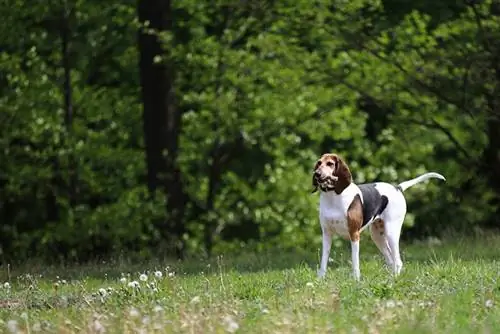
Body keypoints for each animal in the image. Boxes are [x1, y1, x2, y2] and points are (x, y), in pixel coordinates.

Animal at [312, 153, 446, 280]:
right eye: (319, 163)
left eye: (330, 164)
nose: (317, 174)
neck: (333, 197)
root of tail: (397, 188)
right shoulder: (327, 234)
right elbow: (323, 261)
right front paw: (320, 279)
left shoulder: (354, 234)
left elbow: (355, 261)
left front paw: (356, 279)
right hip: (378, 236)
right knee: (391, 261)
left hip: (391, 233)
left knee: (398, 262)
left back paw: (394, 280)